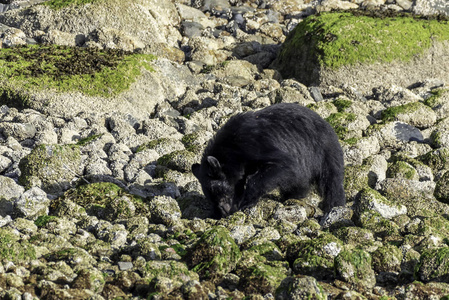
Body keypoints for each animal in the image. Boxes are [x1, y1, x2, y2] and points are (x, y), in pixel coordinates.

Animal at [191, 103, 344, 218]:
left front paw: (246, 201)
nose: (223, 211)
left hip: (324, 151)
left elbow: (283, 165)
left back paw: (334, 205)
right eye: (210, 197)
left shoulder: (254, 145)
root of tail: (329, 126)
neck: (232, 149)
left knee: (331, 182)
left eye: (220, 193)